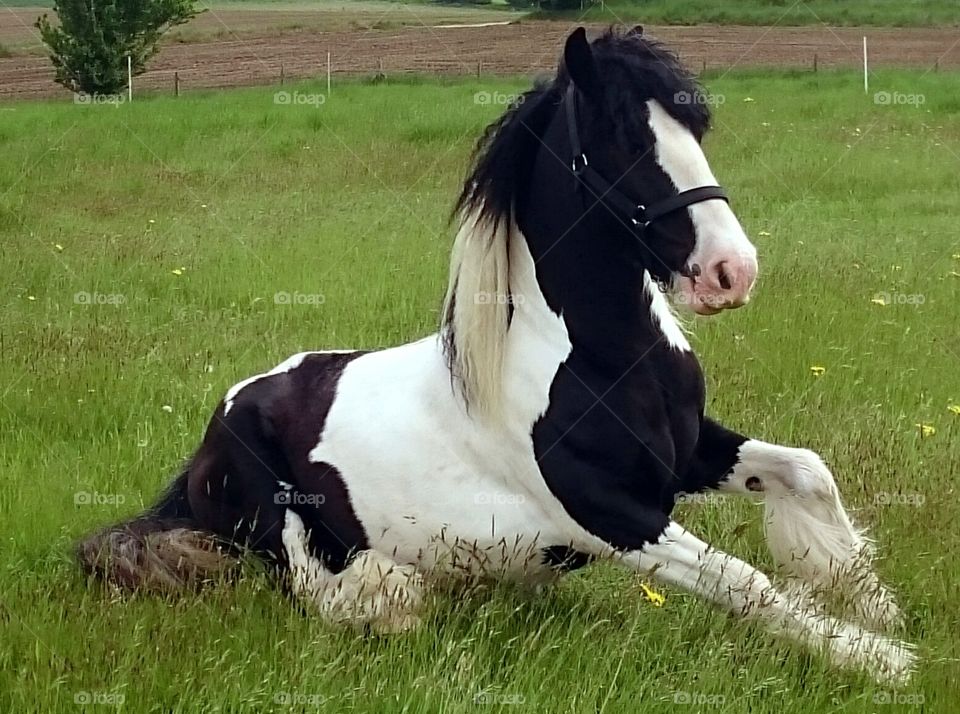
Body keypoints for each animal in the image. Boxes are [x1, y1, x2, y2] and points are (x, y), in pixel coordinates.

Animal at [80, 27, 916, 684]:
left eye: (696, 125)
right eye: (621, 138)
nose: (730, 272)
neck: (600, 363)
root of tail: (215, 426)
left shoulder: (689, 456)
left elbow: (807, 473)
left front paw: (881, 609)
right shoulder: (611, 517)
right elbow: (748, 584)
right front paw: (883, 662)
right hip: (288, 527)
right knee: (330, 591)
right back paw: (400, 598)